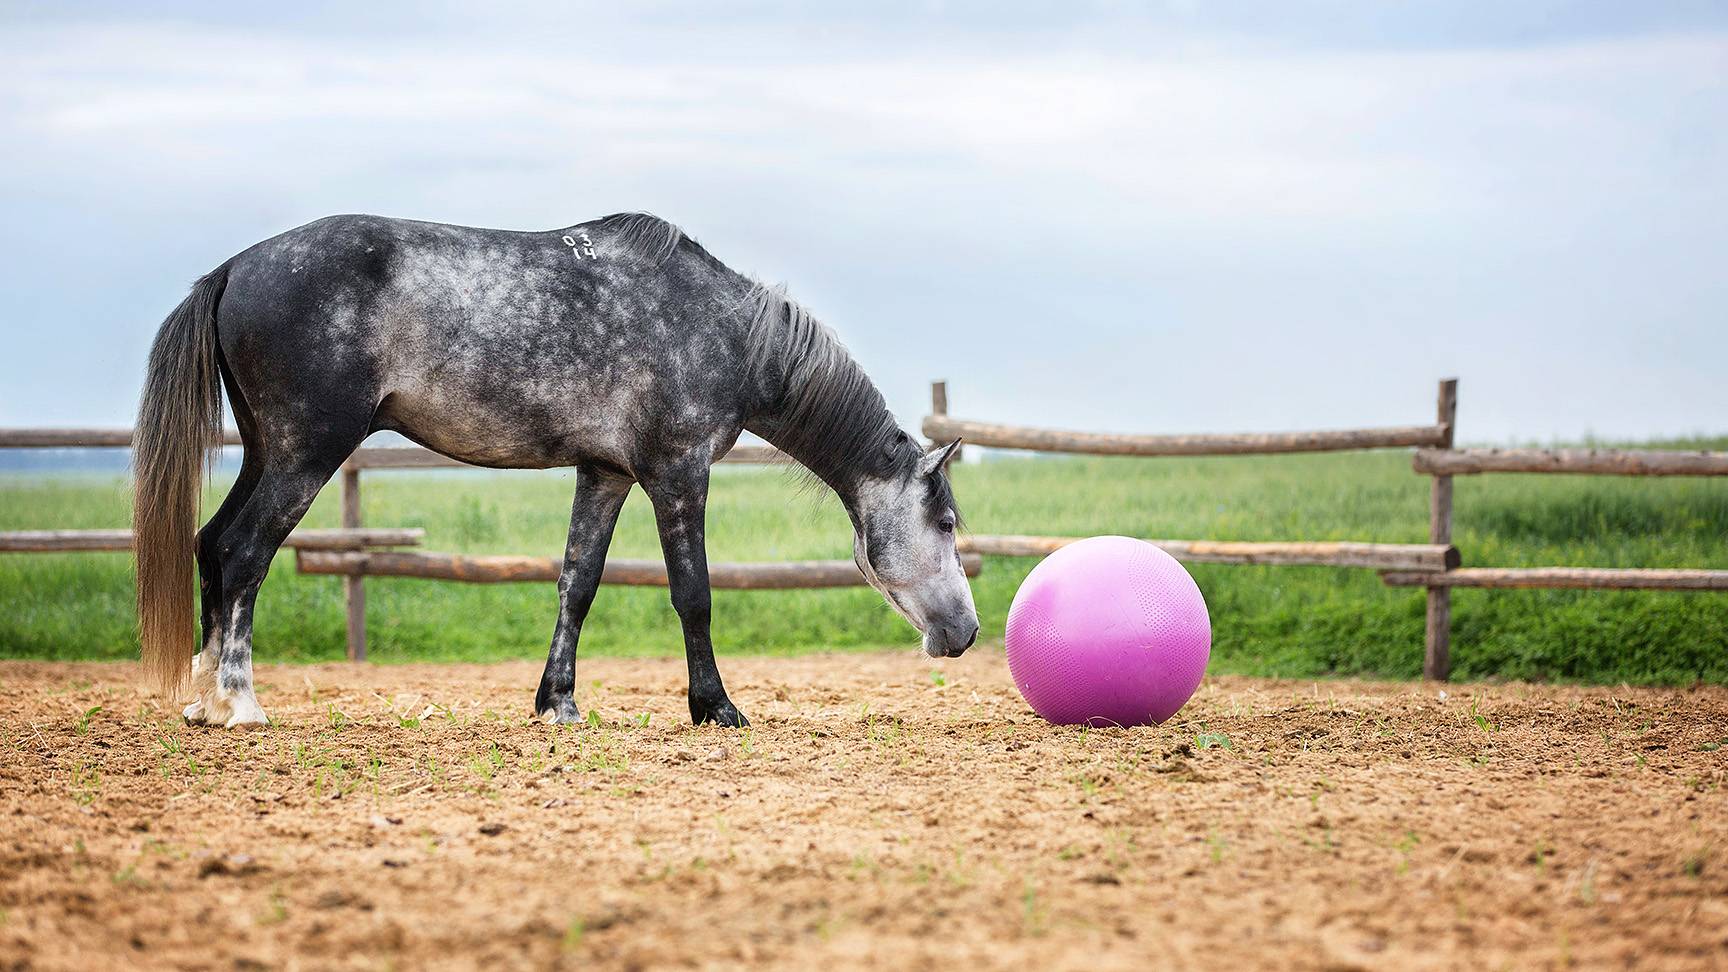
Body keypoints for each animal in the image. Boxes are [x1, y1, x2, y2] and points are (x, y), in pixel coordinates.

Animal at [132, 212, 978, 729]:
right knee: (243, 552)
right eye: (945, 522)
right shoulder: (678, 473)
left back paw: (203, 703)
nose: (967, 632)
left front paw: (557, 704)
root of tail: (234, 269)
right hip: (304, 454)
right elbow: (694, 595)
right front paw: (715, 708)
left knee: (212, 545)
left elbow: (578, 582)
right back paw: (240, 703)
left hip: (265, 450)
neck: (726, 331)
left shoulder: (603, 472)